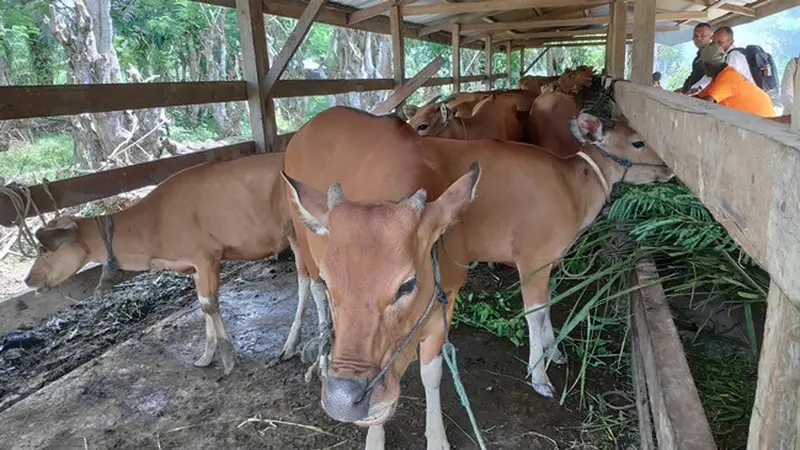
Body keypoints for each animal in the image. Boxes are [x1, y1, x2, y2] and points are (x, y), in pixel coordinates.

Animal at [22, 152, 328, 376]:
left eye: (43, 248)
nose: (28, 279)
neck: (154, 222)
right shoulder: (194, 266)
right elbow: (203, 305)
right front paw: (206, 355)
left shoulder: (206, 256)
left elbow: (209, 304)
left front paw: (228, 358)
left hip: (300, 233)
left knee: (308, 281)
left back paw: (292, 346)